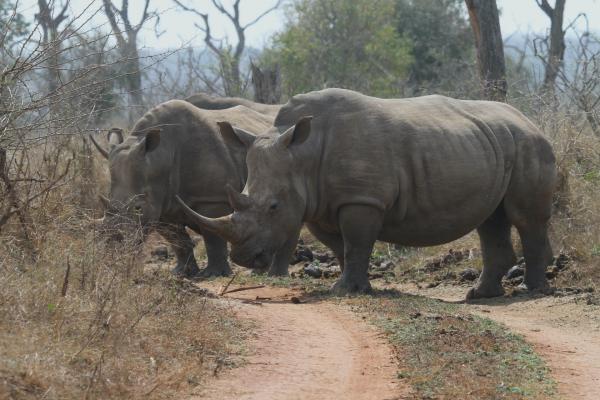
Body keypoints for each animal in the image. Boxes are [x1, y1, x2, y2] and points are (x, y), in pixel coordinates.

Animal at [89, 98, 274, 276]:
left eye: (138, 208)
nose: (114, 243)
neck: (161, 156)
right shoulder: (162, 203)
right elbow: (176, 238)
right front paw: (182, 273)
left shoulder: (212, 198)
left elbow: (212, 236)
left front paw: (214, 274)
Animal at [177, 89, 556, 298]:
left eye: (273, 206)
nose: (244, 258)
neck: (303, 155)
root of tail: (530, 119)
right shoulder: (321, 205)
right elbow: (341, 247)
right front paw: (352, 287)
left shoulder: (362, 198)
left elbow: (357, 242)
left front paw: (344, 290)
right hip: (492, 143)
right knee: (491, 220)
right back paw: (480, 295)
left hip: (529, 143)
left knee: (525, 218)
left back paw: (531, 290)